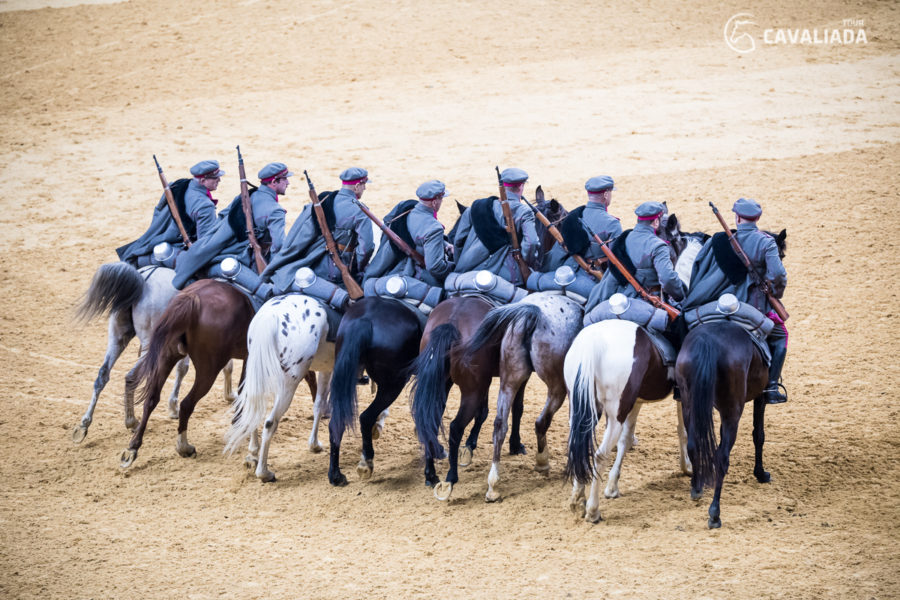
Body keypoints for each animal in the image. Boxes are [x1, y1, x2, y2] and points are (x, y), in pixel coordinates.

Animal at [72, 264, 237, 446]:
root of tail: (142, 279)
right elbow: (196, 368)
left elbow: (185, 368)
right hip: (150, 346)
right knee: (131, 377)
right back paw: (131, 421)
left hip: (118, 338)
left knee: (103, 374)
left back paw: (84, 425)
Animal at [458, 290, 584, 502]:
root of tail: (533, 312)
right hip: (558, 386)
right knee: (545, 421)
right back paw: (545, 463)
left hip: (510, 380)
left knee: (500, 425)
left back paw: (494, 485)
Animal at [564, 216, 704, 520]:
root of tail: (592, 344)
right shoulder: (683, 394)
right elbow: (684, 428)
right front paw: (688, 465)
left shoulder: (636, 402)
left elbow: (626, 440)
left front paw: (613, 486)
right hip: (613, 411)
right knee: (599, 454)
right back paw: (592, 510)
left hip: (582, 407)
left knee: (578, 444)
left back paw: (576, 496)